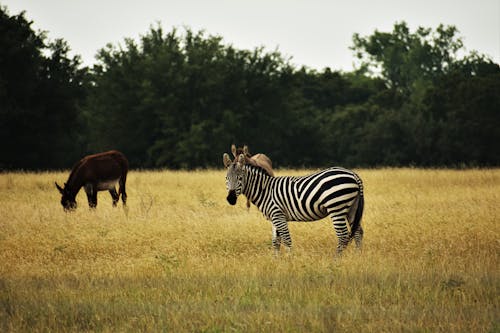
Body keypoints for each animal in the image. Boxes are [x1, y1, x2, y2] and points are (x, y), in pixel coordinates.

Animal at [225, 153, 366, 254]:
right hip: (352, 208)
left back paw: (336, 260)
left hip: (336, 208)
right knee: (358, 232)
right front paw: (276, 262)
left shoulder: (278, 215)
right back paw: (357, 257)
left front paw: (289, 261)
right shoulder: (274, 218)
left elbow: (286, 240)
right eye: (226, 178)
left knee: (343, 235)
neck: (265, 190)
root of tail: (353, 174)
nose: (231, 199)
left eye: (240, 178)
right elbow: (276, 242)